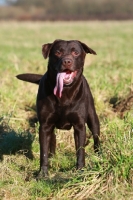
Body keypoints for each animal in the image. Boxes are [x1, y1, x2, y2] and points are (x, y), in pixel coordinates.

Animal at [16, 39, 100, 178]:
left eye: (75, 52)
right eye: (58, 52)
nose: (67, 61)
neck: (64, 92)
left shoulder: (79, 126)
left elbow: (80, 151)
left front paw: (80, 170)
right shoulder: (45, 126)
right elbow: (43, 151)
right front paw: (43, 174)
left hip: (93, 117)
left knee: (96, 136)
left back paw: (100, 156)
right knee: (53, 140)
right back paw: (53, 158)